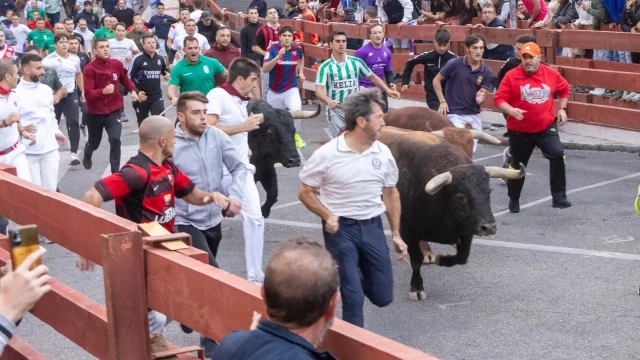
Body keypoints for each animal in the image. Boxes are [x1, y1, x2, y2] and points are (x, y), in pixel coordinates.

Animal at [380, 126, 524, 300]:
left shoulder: (467, 230)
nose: (489, 227)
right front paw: (417, 288)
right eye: (461, 197)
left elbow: (461, 258)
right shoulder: (409, 230)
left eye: (489, 192)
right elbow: (416, 260)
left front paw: (441, 259)